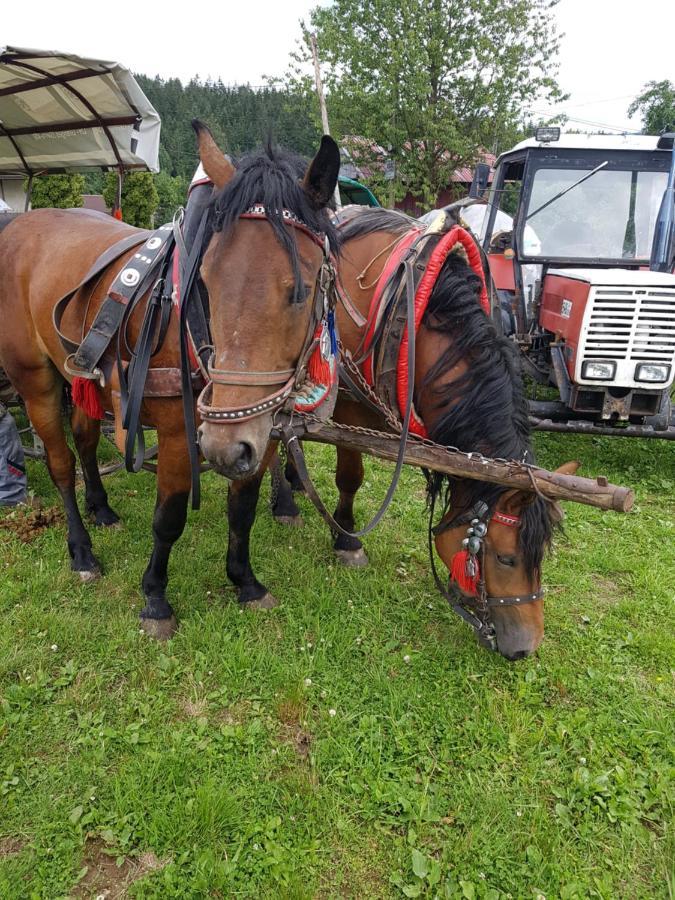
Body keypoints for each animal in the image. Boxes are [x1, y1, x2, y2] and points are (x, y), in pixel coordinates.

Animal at [0, 123, 340, 636]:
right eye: (208, 280)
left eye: (301, 290)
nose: (223, 448)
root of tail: (18, 226)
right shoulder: (182, 433)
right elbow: (170, 517)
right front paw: (155, 598)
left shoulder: (257, 430)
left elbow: (243, 507)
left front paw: (245, 581)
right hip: (35, 379)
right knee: (60, 462)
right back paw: (81, 550)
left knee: (84, 440)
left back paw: (101, 508)